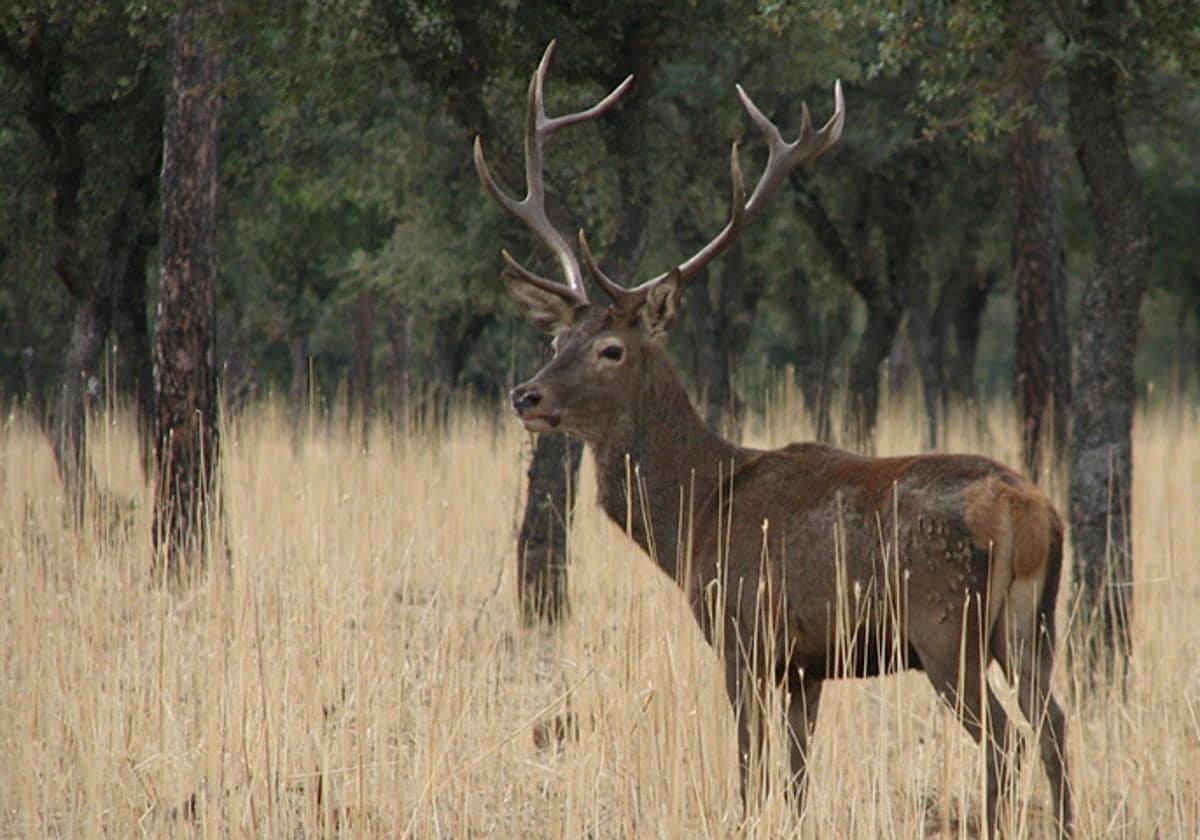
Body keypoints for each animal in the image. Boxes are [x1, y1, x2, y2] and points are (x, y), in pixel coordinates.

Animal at [475, 41, 1080, 840]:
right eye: (555, 337)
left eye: (611, 349)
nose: (527, 396)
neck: (696, 515)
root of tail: (1024, 509)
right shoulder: (807, 664)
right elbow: (794, 779)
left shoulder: (743, 632)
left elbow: (749, 767)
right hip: (1032, 622)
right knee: (1057, 726)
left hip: (946, 622)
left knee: (1007, 740)